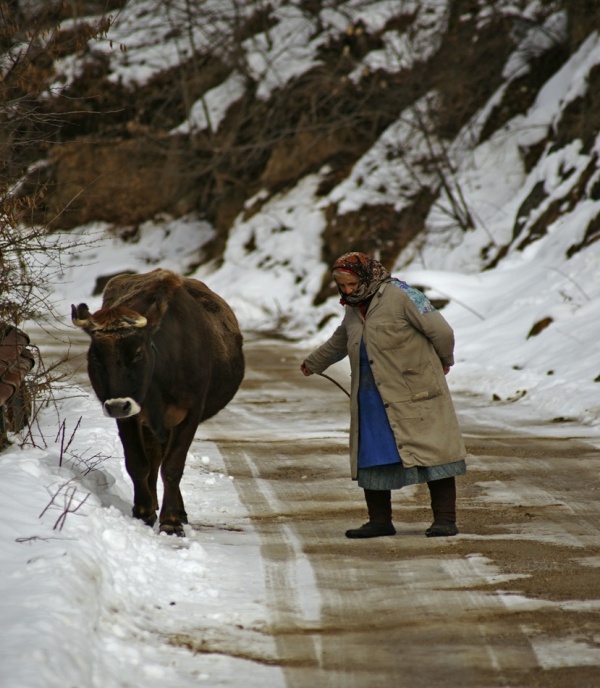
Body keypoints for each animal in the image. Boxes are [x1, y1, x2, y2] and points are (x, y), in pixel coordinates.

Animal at [72, 268, 244, 536]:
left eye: (138, 353)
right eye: (96, 357)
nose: (117, 405)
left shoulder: (191, 413)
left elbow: (173, 466)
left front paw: (171, 520)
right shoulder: (130, 417)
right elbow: (138, 463)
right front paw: (143, 511)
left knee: (163, 460)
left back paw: (177, 511)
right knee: (153, 460)